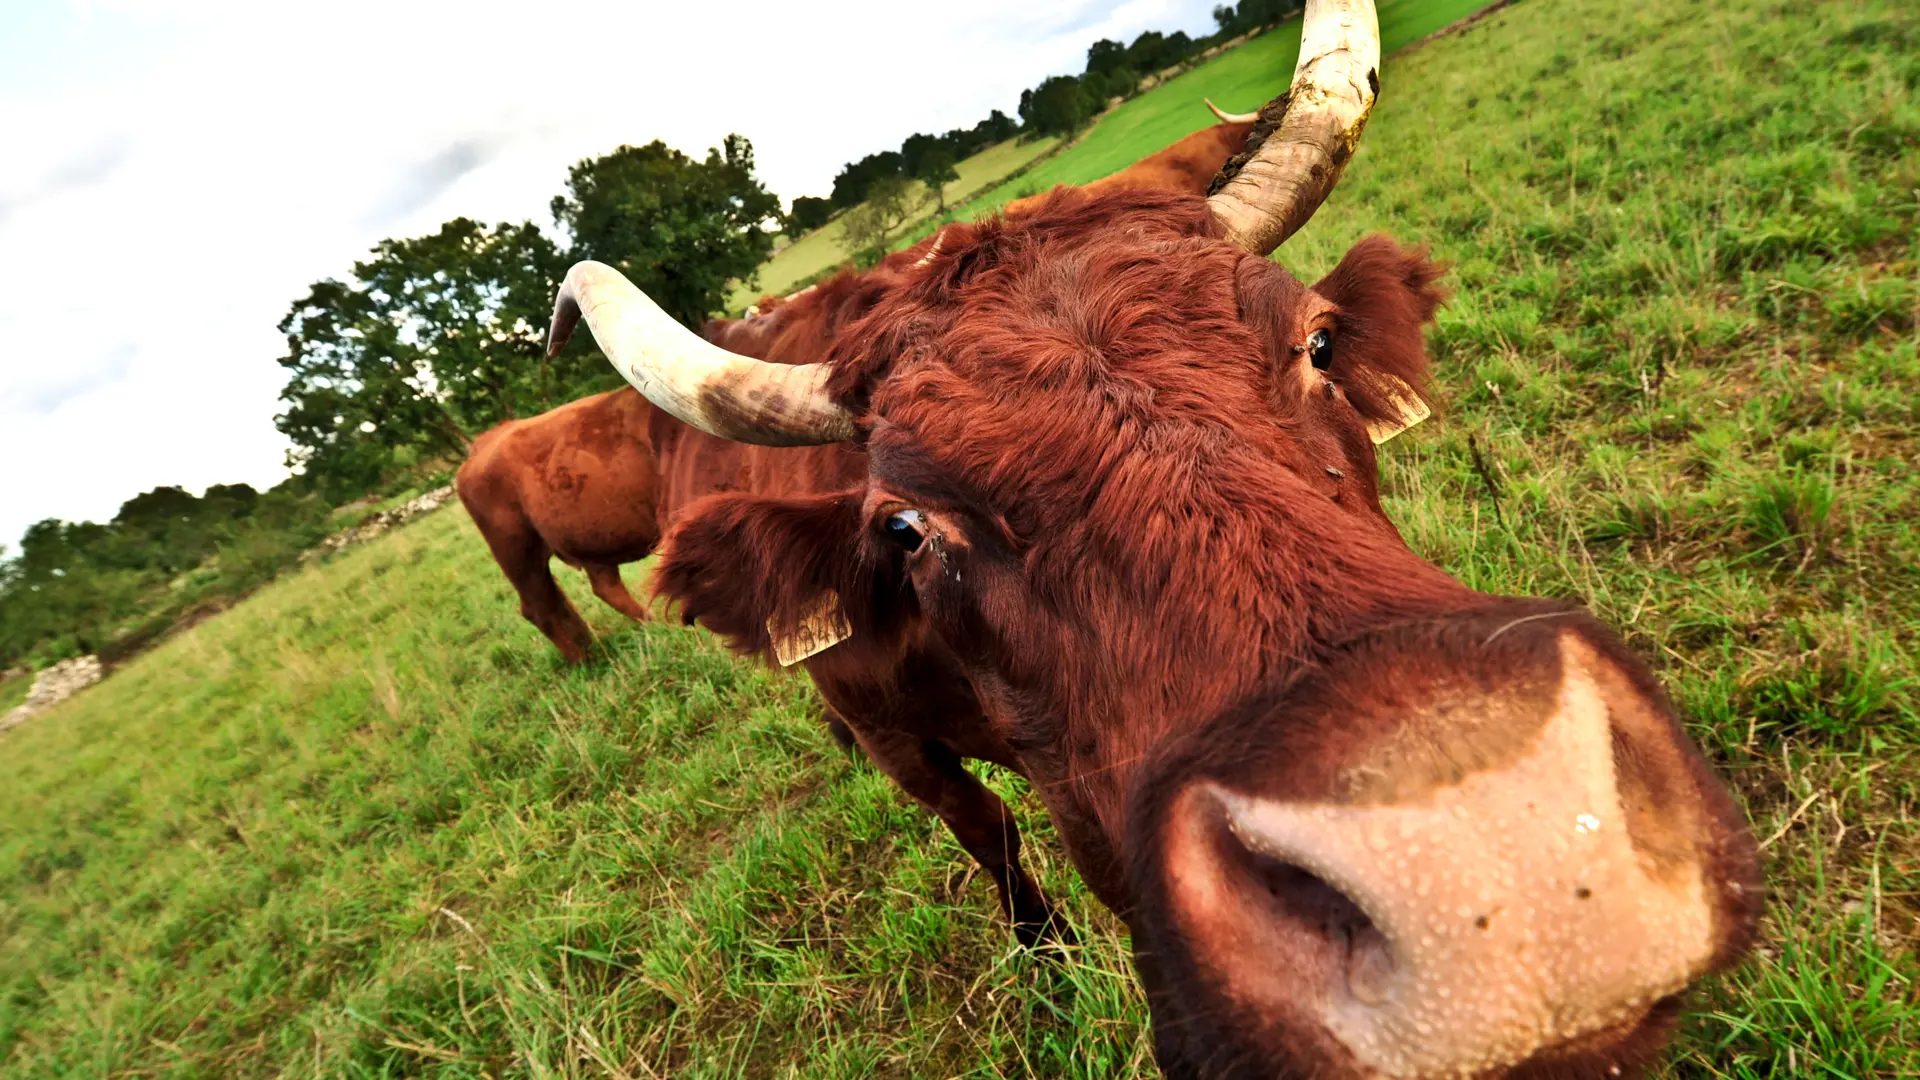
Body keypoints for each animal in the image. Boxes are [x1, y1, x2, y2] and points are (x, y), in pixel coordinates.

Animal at [537, 4, 1758, 1068]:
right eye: (909, 526)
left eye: (1318, 343)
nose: (1505, 855)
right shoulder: (921, 752)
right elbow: (991, 834)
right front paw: (1041, 957)